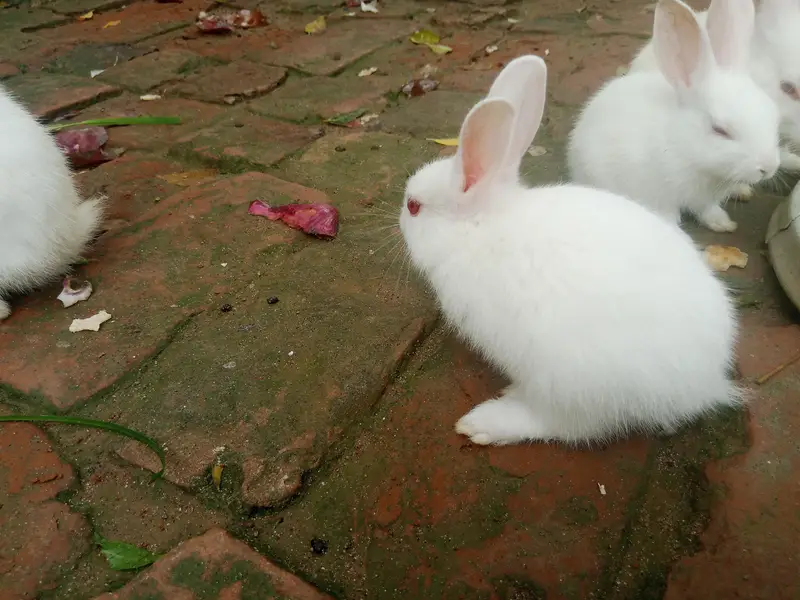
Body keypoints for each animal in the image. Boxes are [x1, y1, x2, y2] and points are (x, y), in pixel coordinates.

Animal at [399, 54, 740, 445]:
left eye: (414, 207)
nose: (399, 217)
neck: (479, 226)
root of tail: (702, 385)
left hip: (569, 383)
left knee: (566, 426)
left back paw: (486, 422)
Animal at [568, 0, 781, 233]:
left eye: (773, 116)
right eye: (720, 130)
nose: (768, 167)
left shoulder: (705, 200)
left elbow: (708, 211)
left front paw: (723, 224)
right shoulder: (658, 195)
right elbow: (668, 216)